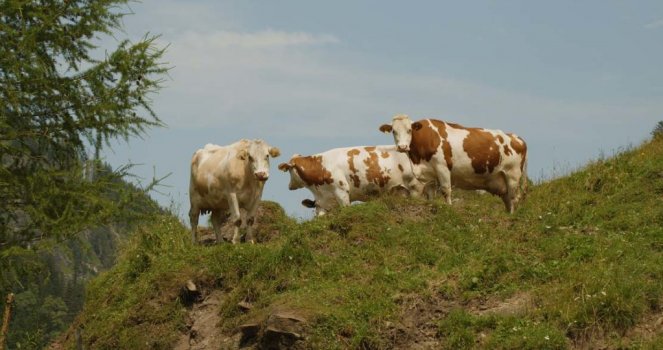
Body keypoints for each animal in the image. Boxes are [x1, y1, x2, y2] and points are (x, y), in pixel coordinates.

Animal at [378, 115, 528, 213]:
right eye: (394, 131)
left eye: (409, 130)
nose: (402, 147)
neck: (418, 159)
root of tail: (516, 137)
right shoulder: (430, 172)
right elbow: (430, 193)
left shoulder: (442, 167)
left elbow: (446, 190)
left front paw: (448, 207)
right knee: (508, 199)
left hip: (513, 175)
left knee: (514, 198)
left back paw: (512, 215)